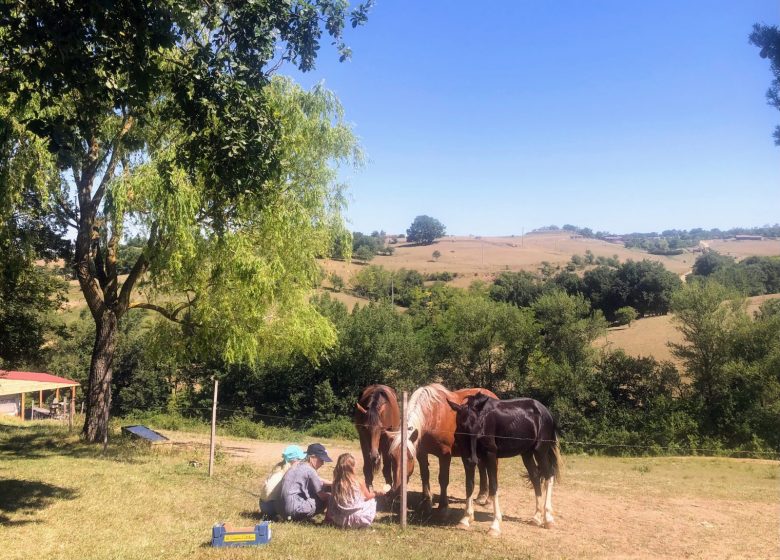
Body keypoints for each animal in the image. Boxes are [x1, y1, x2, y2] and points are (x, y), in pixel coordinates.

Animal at [386, 384, 496, 512]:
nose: (397, 491)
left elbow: (443, 479)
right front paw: (426, 501)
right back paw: (481, 496)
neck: (433, 415)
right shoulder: (421, 453)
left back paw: (489, 500)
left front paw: (443, 506)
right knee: (482, 468)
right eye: (392, 457)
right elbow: (425, 475)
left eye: (410, 457)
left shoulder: (445, 454)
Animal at [448, 392, 564, 536]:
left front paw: (495, 526)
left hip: (540, 451)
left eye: (479, 429)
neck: (484, 418)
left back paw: (548, 519)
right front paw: (465, 519)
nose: (473, 460)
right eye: (459, 433)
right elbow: (469, 485)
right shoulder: (465, 457)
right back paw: (536, 517)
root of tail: (546, 412)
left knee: (549, 477)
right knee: (536, 478)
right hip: (526, 454)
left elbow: (493, 486)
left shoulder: (490, 456)